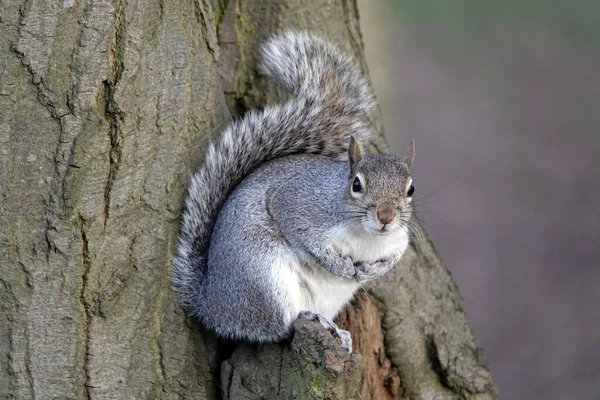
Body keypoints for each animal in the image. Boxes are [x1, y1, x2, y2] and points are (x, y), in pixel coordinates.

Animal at [173, 31, 414, 352]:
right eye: (357, 184)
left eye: (411, 189)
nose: (386, 217)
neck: (367, 237)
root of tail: (211, 304)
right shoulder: (296, 203)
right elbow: (304, 235)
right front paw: (337, 265)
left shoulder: (399, 238)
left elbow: (396, 255)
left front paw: (373, 271)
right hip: (264, 279)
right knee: (277, 327)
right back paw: (317, 320)